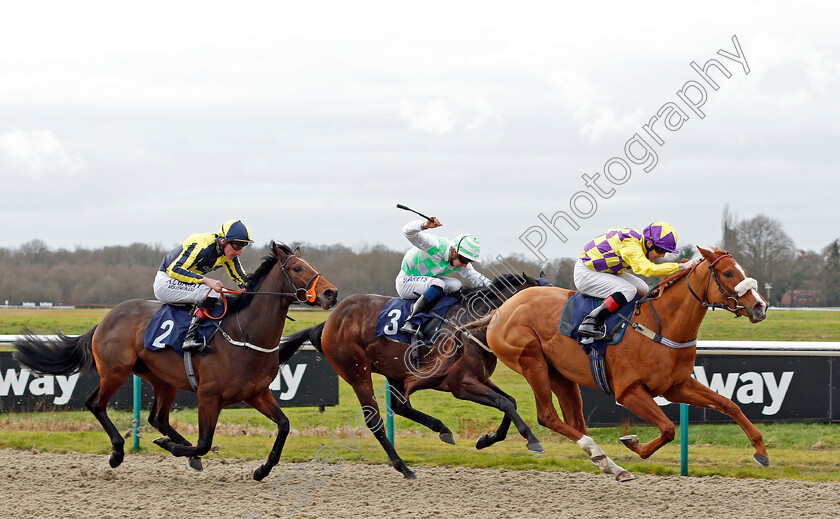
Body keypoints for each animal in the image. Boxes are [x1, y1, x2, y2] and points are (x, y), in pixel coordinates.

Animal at [14, 242, 336, 482]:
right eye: (297, 268)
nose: (330, 293)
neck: (243, 333)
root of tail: (105, 318)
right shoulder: (209, 396)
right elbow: (205, 443)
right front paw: (174, 448)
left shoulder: (256, 392)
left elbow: (284, 425)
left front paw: (262, 469)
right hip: (116, 371)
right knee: (96, 403)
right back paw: (119, 452)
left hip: (161, 379)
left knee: (158, 417)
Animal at [282, 274, 544, 482]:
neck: (471, 326)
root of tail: (328, 322)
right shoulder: (460, 384)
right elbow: (504, 402)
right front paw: (532, 439)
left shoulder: (479, 378)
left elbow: (510, 401)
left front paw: (487, 439)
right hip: (357, 372)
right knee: (374, 419)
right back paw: (404, 468)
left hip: (394, 371)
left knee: (401, 407)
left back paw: (442, 430)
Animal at [480, 248, 768, 484]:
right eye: (728, 273)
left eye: (743, 271)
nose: (760, 306)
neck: (662, 326)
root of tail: (501, 309)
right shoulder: (629, 391)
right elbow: (668, 428)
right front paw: (633, 444)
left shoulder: (677, 386)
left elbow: (728, 404)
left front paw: (761, 451)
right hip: (532, 362)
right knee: (547, 416)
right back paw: (596, 454)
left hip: (560, 374)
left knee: (575, 421)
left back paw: (609, 464)